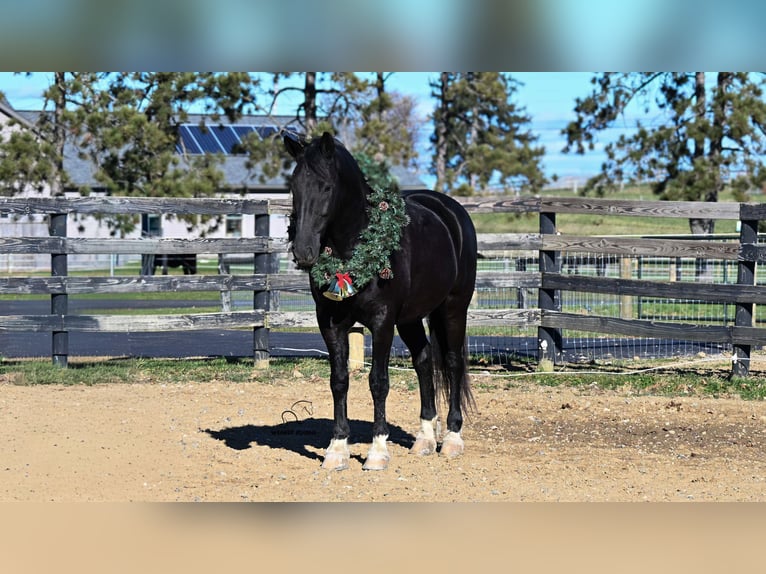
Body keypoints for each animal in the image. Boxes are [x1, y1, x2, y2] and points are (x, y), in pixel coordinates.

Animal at [284, 132, 477, 471]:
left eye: (326, 187)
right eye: (294, 186)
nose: (304, 251)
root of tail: (452, 211)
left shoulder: (382, 321)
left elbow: (378, 382)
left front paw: (376, 452)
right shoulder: (330, 323)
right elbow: (339, 380)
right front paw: (337, 450)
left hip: (454, 308)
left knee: (453, 363)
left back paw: (452, 439)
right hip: (412, 318)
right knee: (423, 360)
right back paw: (425, 439)